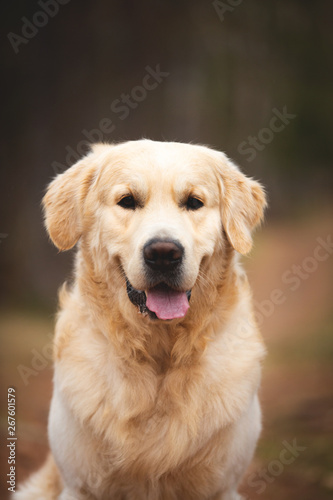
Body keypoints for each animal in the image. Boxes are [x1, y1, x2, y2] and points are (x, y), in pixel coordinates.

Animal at [14, 140, 264, 500]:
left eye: (194, 202)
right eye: (127, 201)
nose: (163, 253)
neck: (159, 355)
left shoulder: (221, 487)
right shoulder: (80, 486)